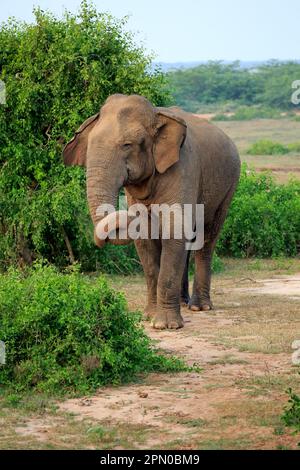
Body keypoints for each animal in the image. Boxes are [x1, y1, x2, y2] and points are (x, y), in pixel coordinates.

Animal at [63, 93, 241, 330]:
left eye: (127, 145)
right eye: (89, 146)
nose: (124, 217)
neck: (156, 114)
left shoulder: (184, 168)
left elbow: (174, 230)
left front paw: (166, 326)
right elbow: (146, 239)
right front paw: (149, 317)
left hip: (229, 186)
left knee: (207, 237)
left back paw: (199, 307)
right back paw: (183, 303)